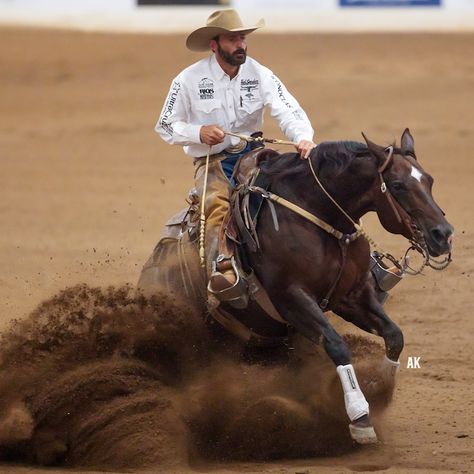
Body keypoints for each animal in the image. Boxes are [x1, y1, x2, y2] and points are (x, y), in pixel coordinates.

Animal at [137, 130, 452, 444]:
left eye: (429, 180)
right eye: (397, 185)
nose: (443, 235)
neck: (320, 216)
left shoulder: (351, 296)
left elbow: (394, 335)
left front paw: (379, 389)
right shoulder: (291, 298)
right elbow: (336, 344)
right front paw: (360, 415)